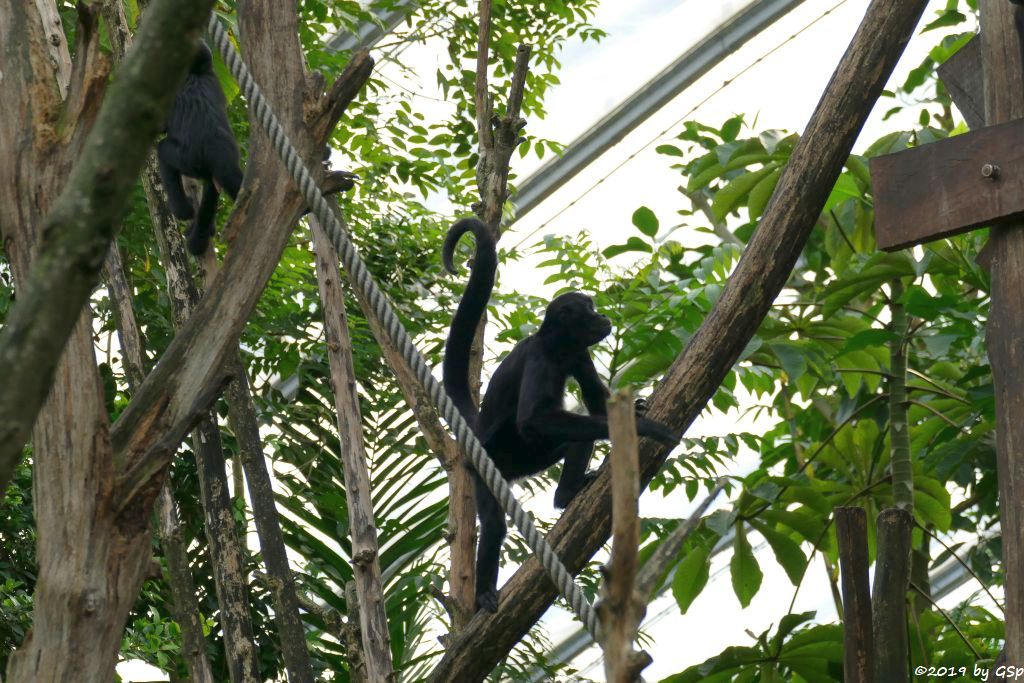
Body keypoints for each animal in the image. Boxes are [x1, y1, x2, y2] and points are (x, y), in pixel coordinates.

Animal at [442, 216, 675, 610]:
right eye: (590, 309)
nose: (604, 316)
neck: (554, 344)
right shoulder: (542, 359)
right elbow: (531, 420)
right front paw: (649, 428)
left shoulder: (577, 352)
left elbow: (596, 399)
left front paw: (635, 412)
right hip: (487, 466)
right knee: (495, 524)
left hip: (528, 459)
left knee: (575, 441)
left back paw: (566, 493)